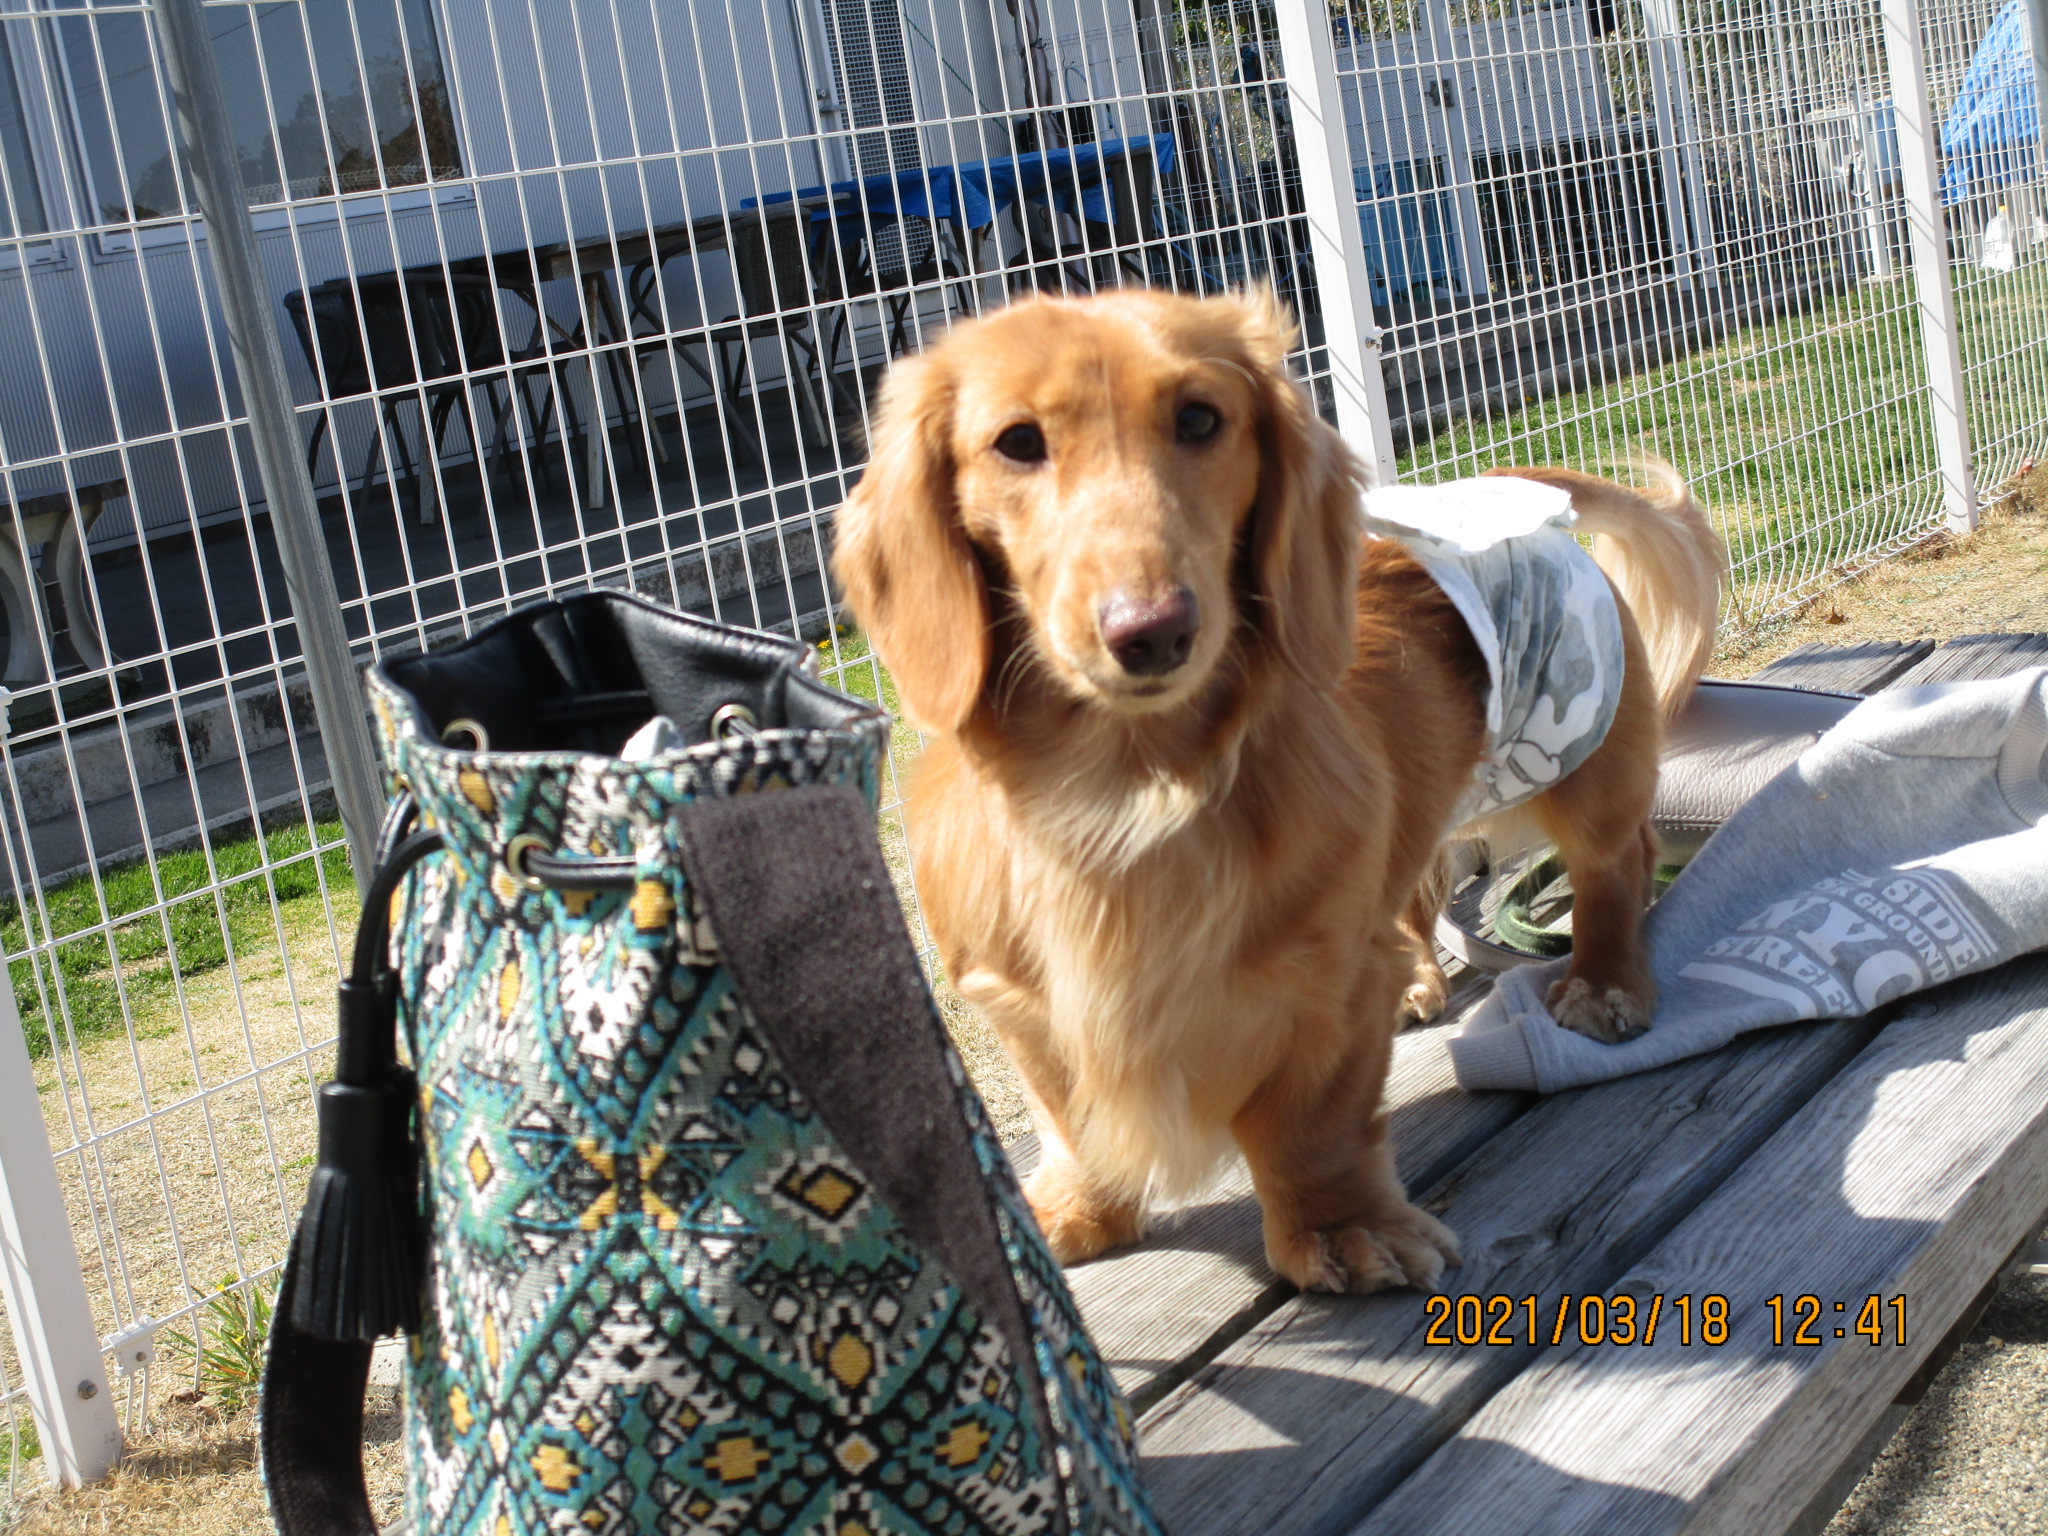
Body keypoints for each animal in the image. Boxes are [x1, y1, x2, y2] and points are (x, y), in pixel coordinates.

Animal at [832, 289, 1723, 1293]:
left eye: (1198, 419)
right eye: (1016, 441)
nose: (1152, 630)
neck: (1126, 790)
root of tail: (1500, 486)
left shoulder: (1327, 987)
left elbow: (1309, 1125)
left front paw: (1340, 1229)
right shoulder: (1025, 1007)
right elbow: (1072, 1118)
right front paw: (1083, 1211)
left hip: (1581, 757)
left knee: (1615, 864)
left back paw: (1604, 983)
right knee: (1419, 892)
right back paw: (1426, 980)